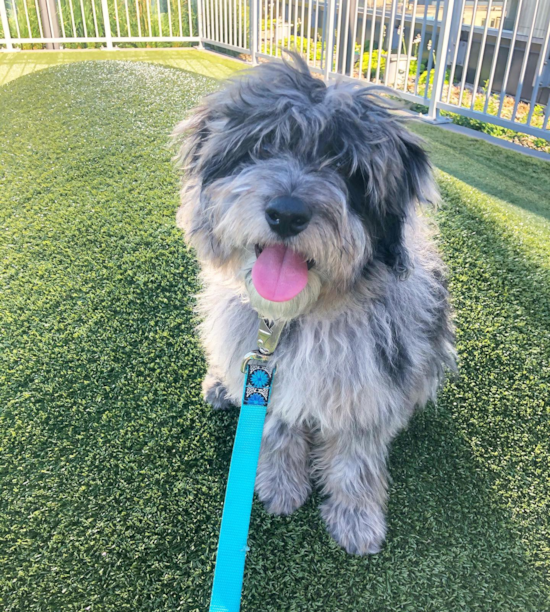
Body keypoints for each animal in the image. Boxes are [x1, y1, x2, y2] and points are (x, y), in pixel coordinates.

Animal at [174, 53, 458, 556]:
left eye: (346, 166)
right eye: (263, 146)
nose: (287, 214)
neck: (299, 315)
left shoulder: (372, 387)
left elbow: (356, 457)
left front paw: (356, 517)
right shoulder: (267, 377)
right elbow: (277, 427)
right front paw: (281, 483)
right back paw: (221, 386)